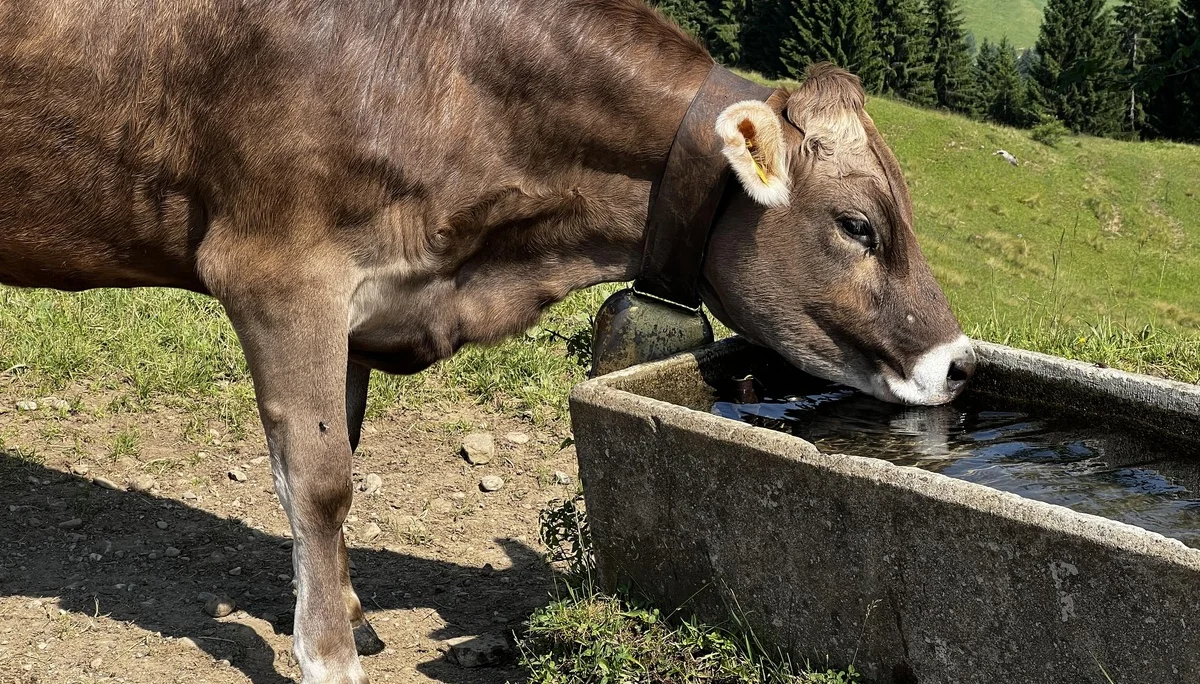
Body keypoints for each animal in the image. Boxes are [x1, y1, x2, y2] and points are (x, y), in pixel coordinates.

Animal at [0, 1, 976, 681]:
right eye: (858, 226)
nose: (959, 361)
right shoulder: (279, 272)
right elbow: (319, 482)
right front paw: (328, 654)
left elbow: (342, 452)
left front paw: (348, 610)